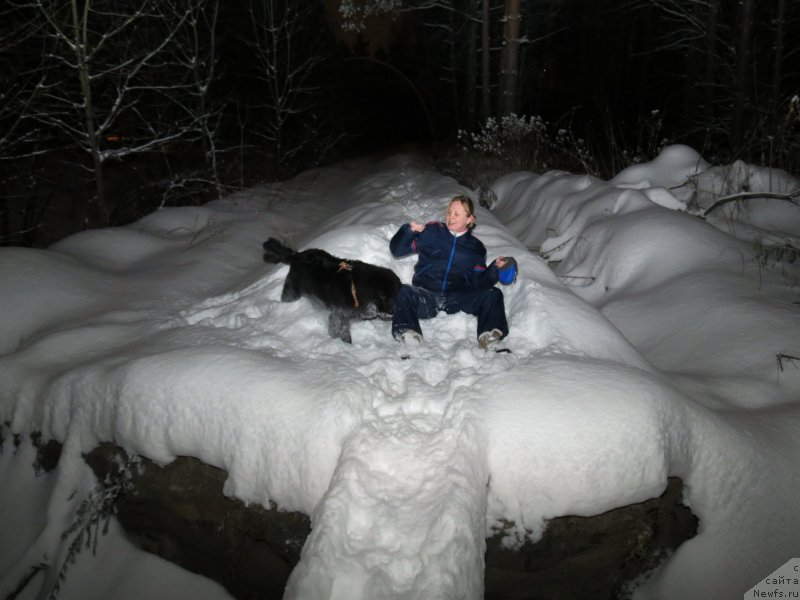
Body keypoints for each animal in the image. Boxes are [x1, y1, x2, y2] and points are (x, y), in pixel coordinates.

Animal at [260, 238, 400, 344]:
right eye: (383, 296)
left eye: (395, 295)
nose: (394, 311)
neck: (355, 288)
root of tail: (297, 255)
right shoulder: (339, 315)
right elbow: (340, 330)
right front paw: (345, 345)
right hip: (292, 292)